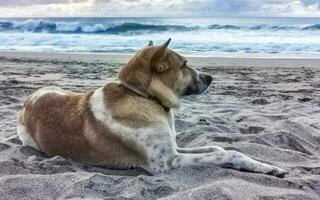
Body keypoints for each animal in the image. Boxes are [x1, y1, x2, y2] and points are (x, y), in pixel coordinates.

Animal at [16, 38, 288, 177]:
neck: (144, 96)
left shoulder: (174, 148)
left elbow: (216, 147)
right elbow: (229, 153)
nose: (211, 78)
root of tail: (29, 100)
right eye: (185, 64)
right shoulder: (168, 161)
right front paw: (270, 167)